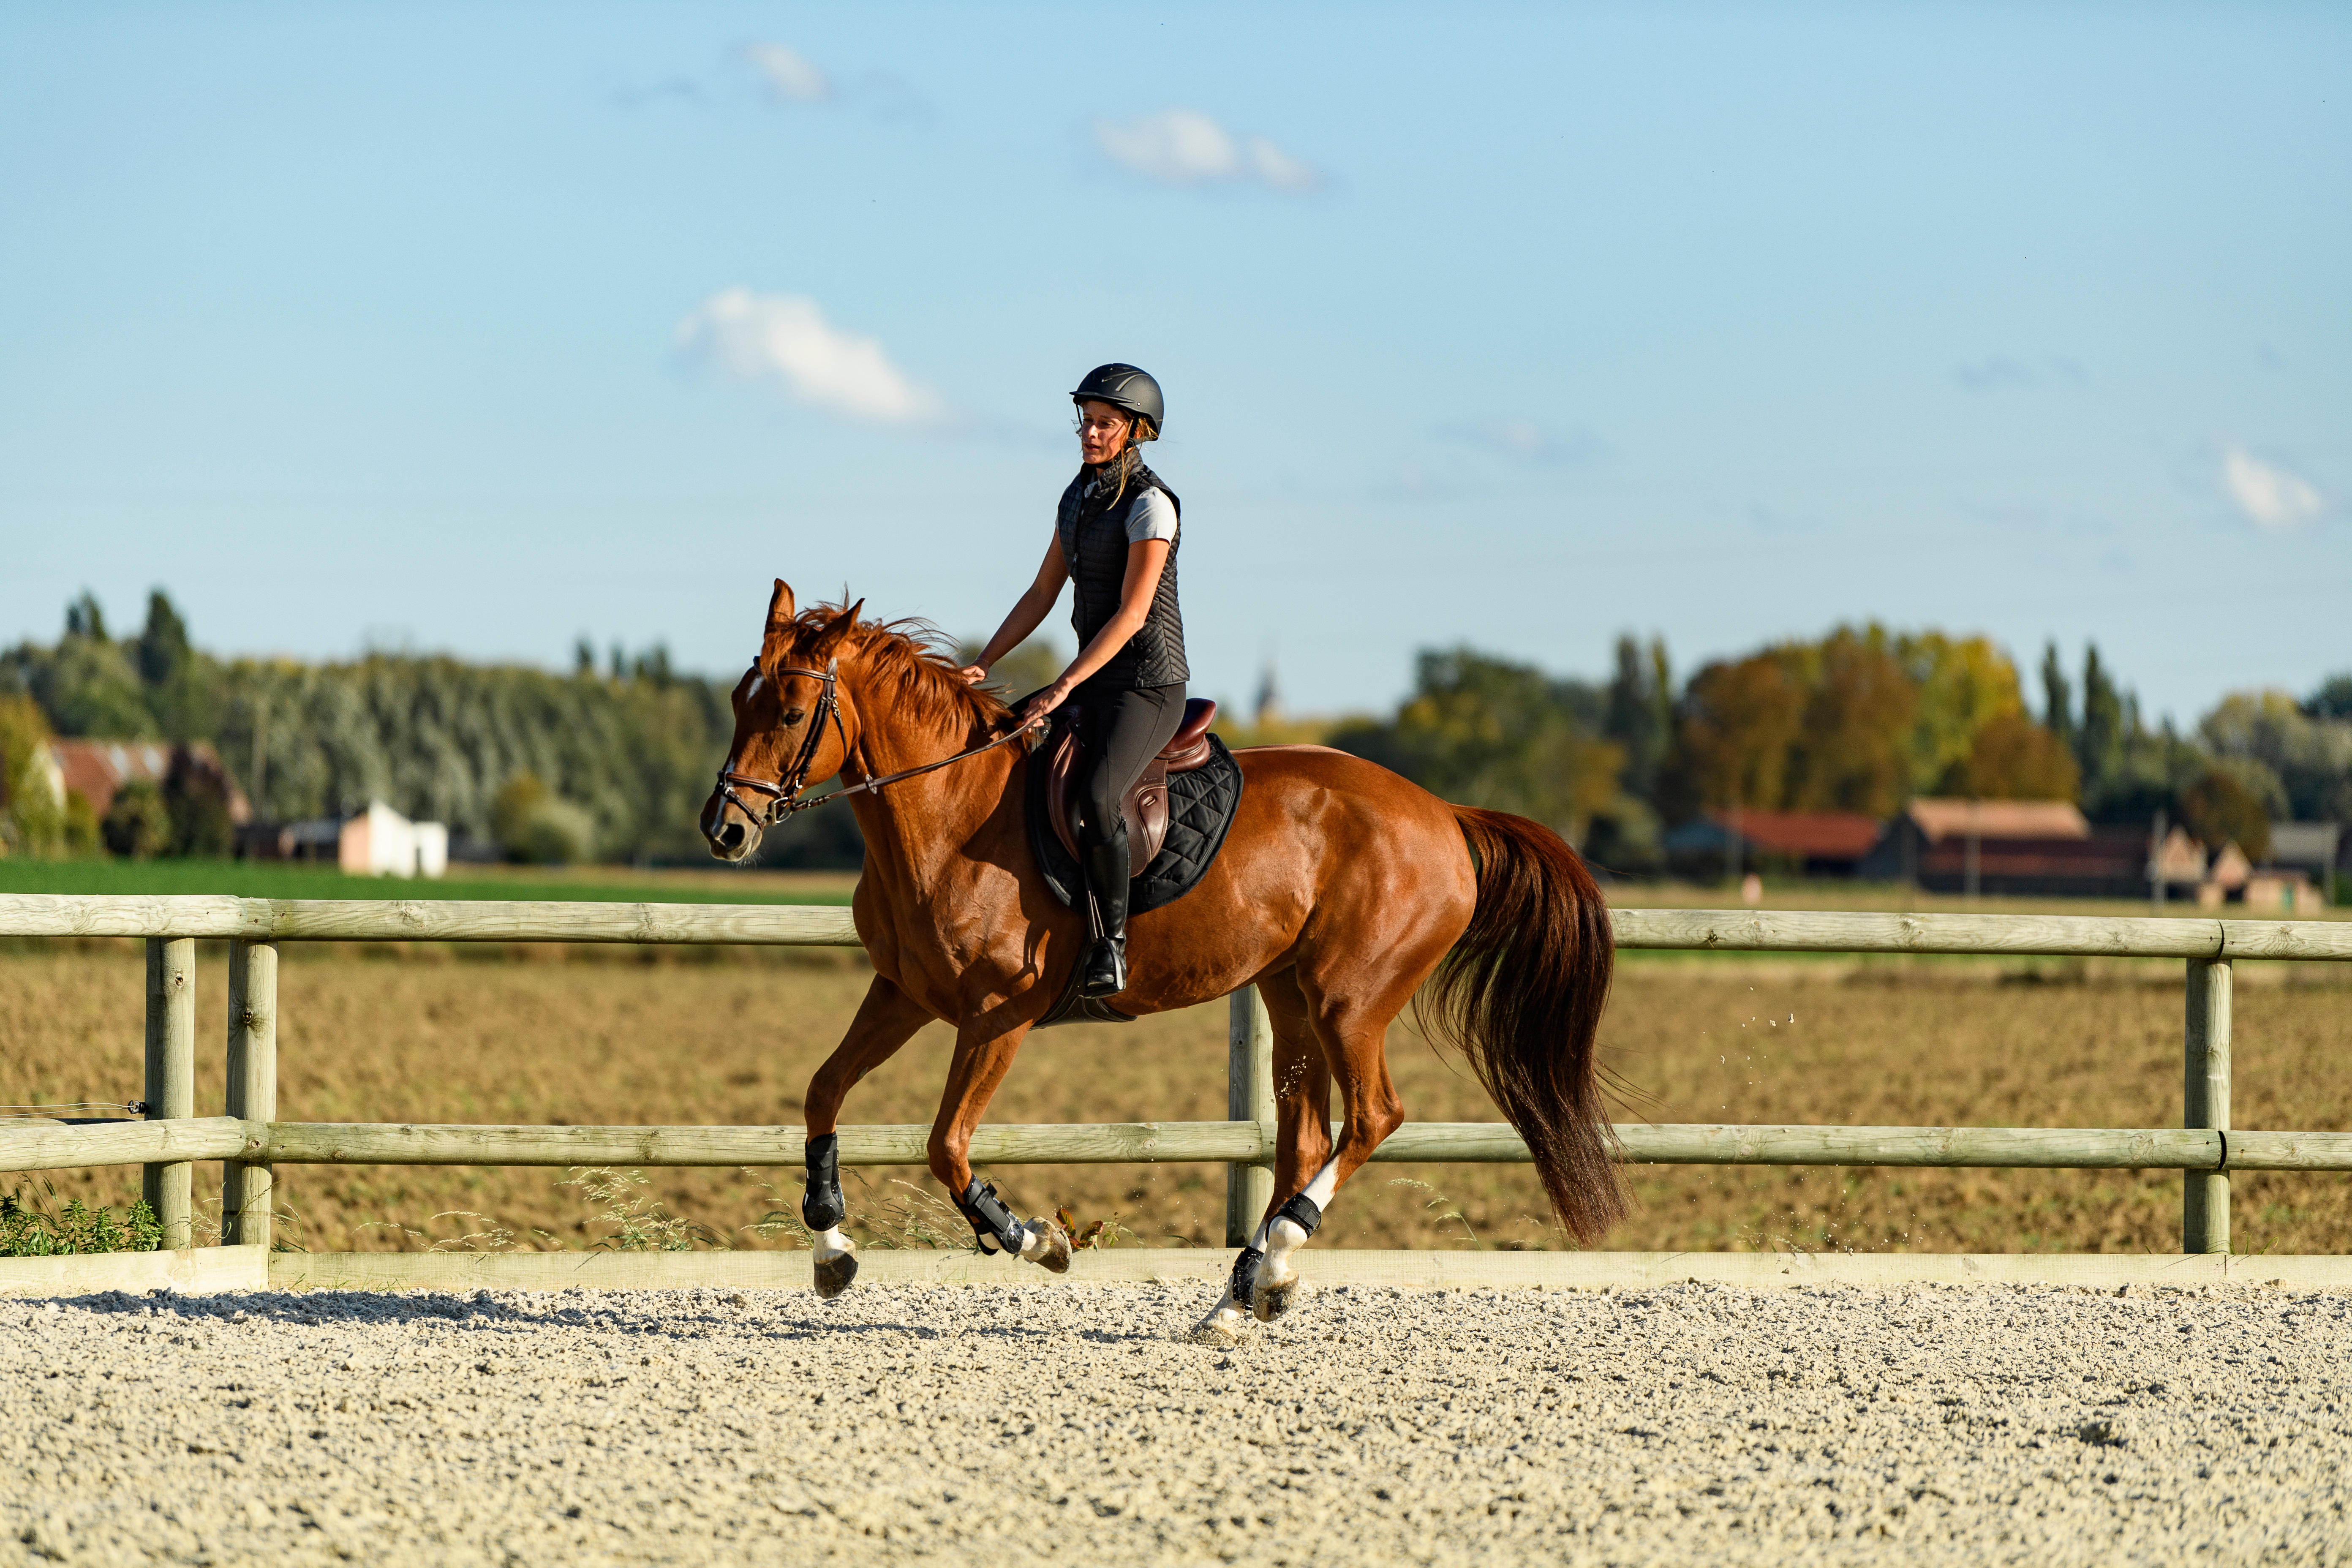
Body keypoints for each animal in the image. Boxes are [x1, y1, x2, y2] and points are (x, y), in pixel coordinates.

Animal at [696, 583, 1618, 1345]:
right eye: (742, 699)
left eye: (788, 711)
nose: (724, 829)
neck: (947, 812)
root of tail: (1445, 812)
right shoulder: (902, 992)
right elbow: (822, 1092)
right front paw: (830, 1246)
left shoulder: (998, 1015)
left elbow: (947, 1147)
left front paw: (1035, 1238)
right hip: (1289, 993)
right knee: (1306, 1135)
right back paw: (1245, 1294)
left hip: (1350, 999)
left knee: (1374, 1117)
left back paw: (1274, 1257)